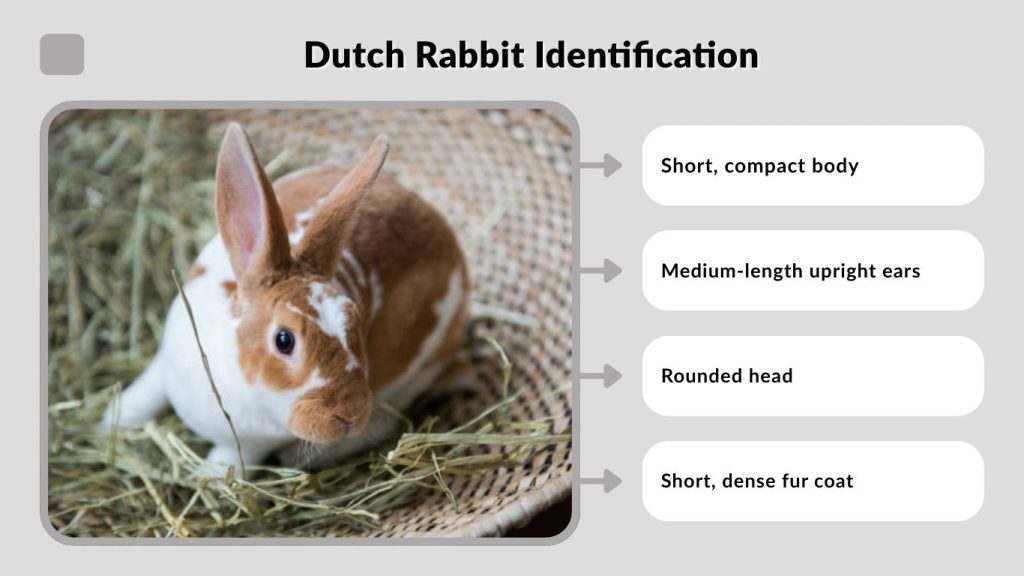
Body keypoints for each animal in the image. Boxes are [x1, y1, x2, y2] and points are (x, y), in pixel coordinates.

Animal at [101, 123, 469, 475]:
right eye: (284, 340)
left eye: (356, 324)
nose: (348, 415)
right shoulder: (166, 361)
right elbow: (148, 388)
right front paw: (113, 419)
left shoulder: (249, 445)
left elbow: (230, 461)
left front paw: (210, 478)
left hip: (411, 376)